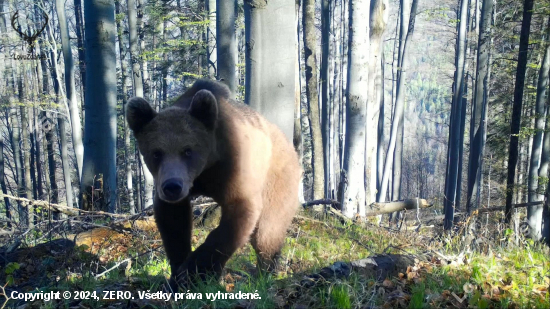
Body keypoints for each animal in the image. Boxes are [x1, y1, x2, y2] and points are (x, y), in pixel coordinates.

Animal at [126, 79, 302, 286]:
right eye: (156, 153)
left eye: (188, 151)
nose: (172, 187)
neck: (205, 169)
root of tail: (290, 145)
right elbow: (174, 223)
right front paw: (179, 273)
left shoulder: (232, 168)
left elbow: (237, 214)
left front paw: (196, 271)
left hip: (278, 180)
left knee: (268, 231)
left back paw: (265, 272)